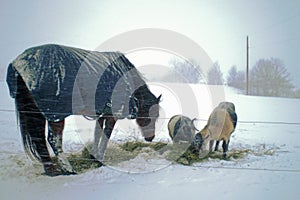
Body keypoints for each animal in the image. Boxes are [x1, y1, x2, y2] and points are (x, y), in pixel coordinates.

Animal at [6, 44, 162, 177]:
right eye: (151, 116)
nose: (150, 138)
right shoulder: (111, 115)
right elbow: (105, 135)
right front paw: (100, 159)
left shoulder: (101, 113)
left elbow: (97, 133)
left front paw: (94, 156)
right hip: (56, 115)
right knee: (53, 140)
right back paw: (68, 169)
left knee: (39, 140)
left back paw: (51, 169)